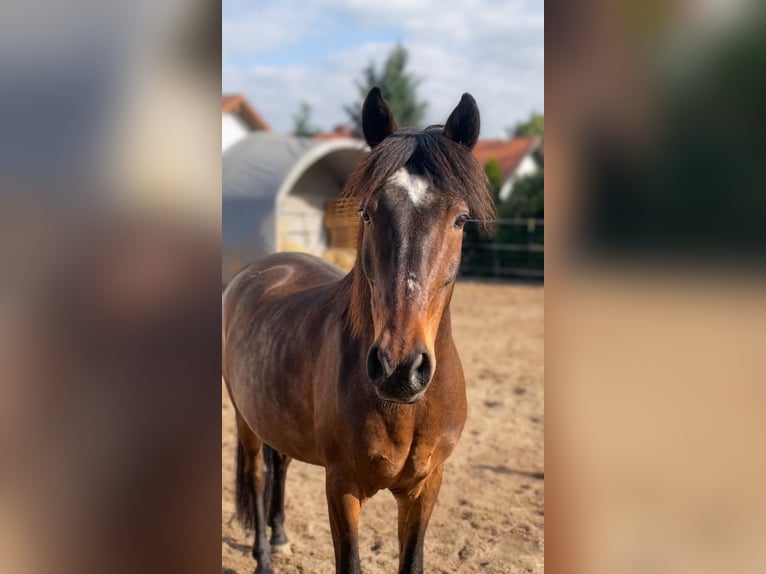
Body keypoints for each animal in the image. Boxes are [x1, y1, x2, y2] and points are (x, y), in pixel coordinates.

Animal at [222, 87, 495, 574]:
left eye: (461, 219)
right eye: (367, 213)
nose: (399, 369)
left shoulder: (426, 487)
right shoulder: (342, 487)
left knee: (279, 464)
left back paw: (280, 535)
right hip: (244, 418)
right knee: (255, 476)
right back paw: (263, 557)